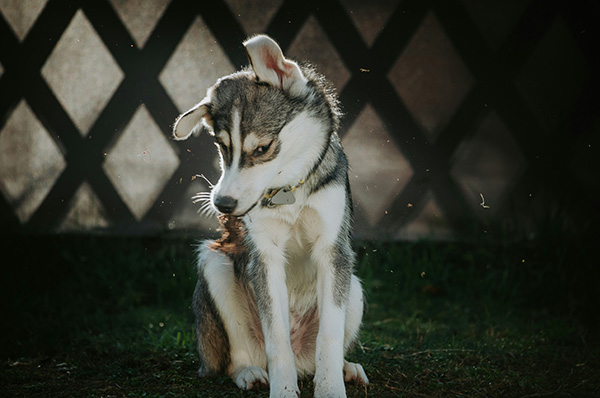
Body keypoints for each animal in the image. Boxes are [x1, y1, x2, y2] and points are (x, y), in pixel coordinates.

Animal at [173, 35, 368, 398]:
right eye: (222, 147)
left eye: (262, 148)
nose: (222, 204)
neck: (289, 190)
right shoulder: (264, 257)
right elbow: (277, 340)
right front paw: (283, 390)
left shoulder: (333, 252)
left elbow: (330, 336)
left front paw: (330, 387)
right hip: (215, 266)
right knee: (240, 356)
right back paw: (248, 372)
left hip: (356, 289)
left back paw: (345, 368)